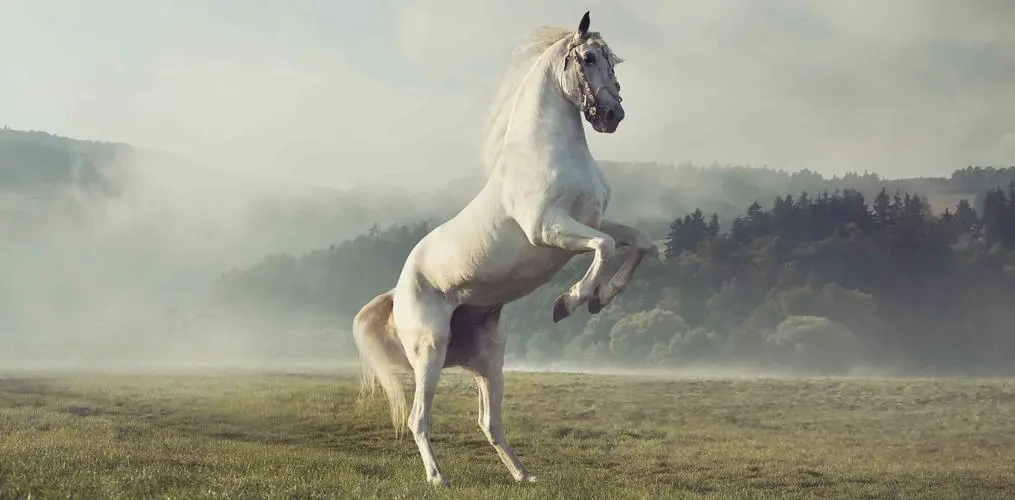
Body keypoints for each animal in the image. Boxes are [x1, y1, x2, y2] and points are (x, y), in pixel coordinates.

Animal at [352, 11, 658, 487]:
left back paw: (523, 475)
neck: (547, 152)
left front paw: (600, 298)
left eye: (614, 60)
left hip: (489, 359)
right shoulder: (549, 229)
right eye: (588, 58)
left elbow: (638, 241)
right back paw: (439, 478)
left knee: (489, 422)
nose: (612, 115)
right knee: (420, 418)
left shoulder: (588, 222)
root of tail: (397, 291)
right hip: (429, 353)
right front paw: (570, 301)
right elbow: (605, 247)